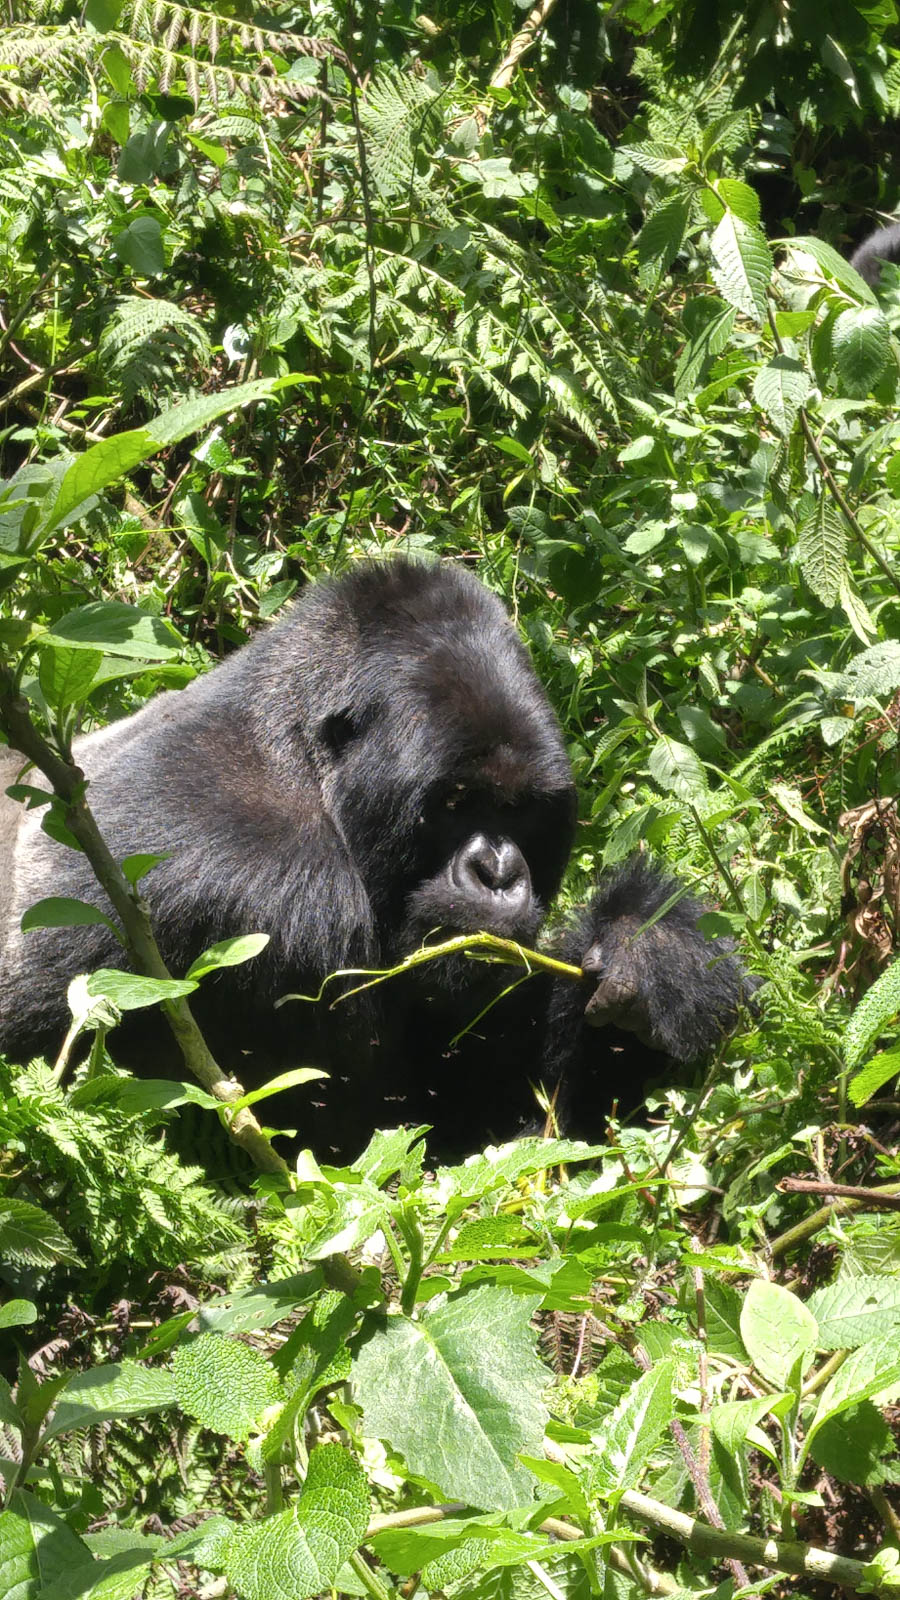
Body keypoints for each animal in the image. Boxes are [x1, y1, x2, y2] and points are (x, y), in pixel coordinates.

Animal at [0, 556, 743, 1158]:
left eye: (519, 809)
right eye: (455, 801)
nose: (499, 873)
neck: (297, 760)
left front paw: (651, 947)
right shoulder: (278, 896)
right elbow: (394, 1138)